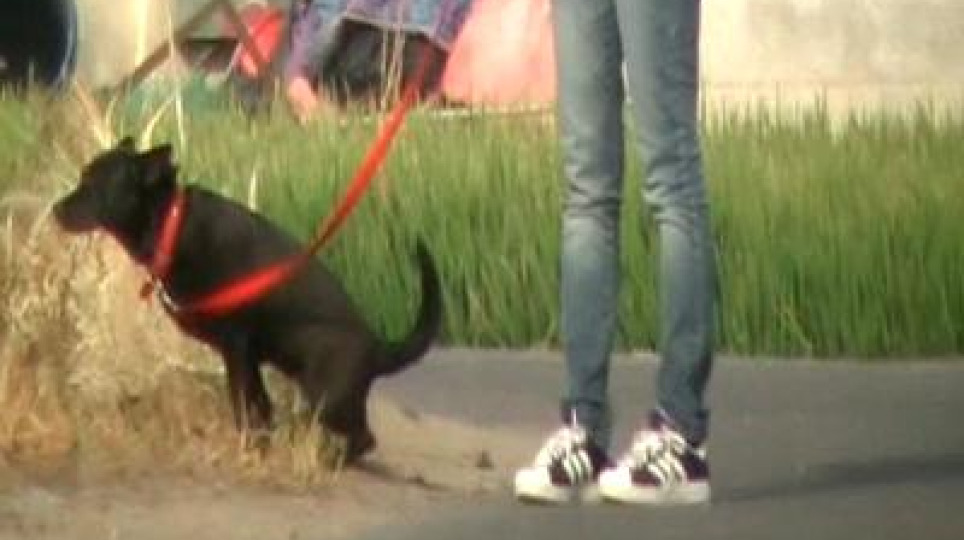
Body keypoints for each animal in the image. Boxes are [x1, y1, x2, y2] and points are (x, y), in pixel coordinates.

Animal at [53, 138, 442, 462]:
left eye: (94, 185)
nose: (55, 209)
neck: (171, 227)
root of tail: (379, 347)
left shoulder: (236, 346)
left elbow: (241, 406)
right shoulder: (248, 356)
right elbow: (260, 410)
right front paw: (259, 448)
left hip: (325, 397)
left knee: (363, 438)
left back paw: (329, 459)